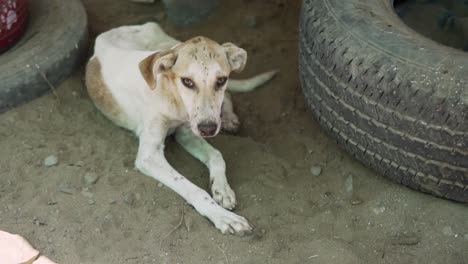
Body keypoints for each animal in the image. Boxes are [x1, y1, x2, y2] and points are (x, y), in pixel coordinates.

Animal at [85, 22, 276, 235]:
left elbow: (217, 155)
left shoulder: (188, 131)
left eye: (221, 80)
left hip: (166, 42)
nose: (208, 129)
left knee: (227, 96)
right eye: (187, 81)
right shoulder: (150, 155)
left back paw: (229, 118)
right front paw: (222, 216)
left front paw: (222, 189)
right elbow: (193, 188)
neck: (173, 98)